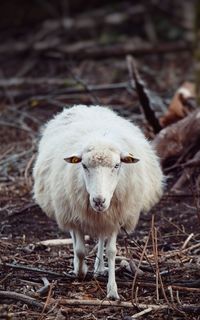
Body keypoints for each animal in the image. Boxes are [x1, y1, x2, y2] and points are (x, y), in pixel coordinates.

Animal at [33, 105, 164, 300]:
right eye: (84, 165)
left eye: (117, 165)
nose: (98, 200)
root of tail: (87, 107)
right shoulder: (75, 214)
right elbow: (80, 249)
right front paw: (80, 272)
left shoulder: (115, 216)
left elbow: (111, 251)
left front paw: (113, 290)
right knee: (76, 240)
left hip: (105, 216)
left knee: (102, 237)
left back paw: (100, 267)